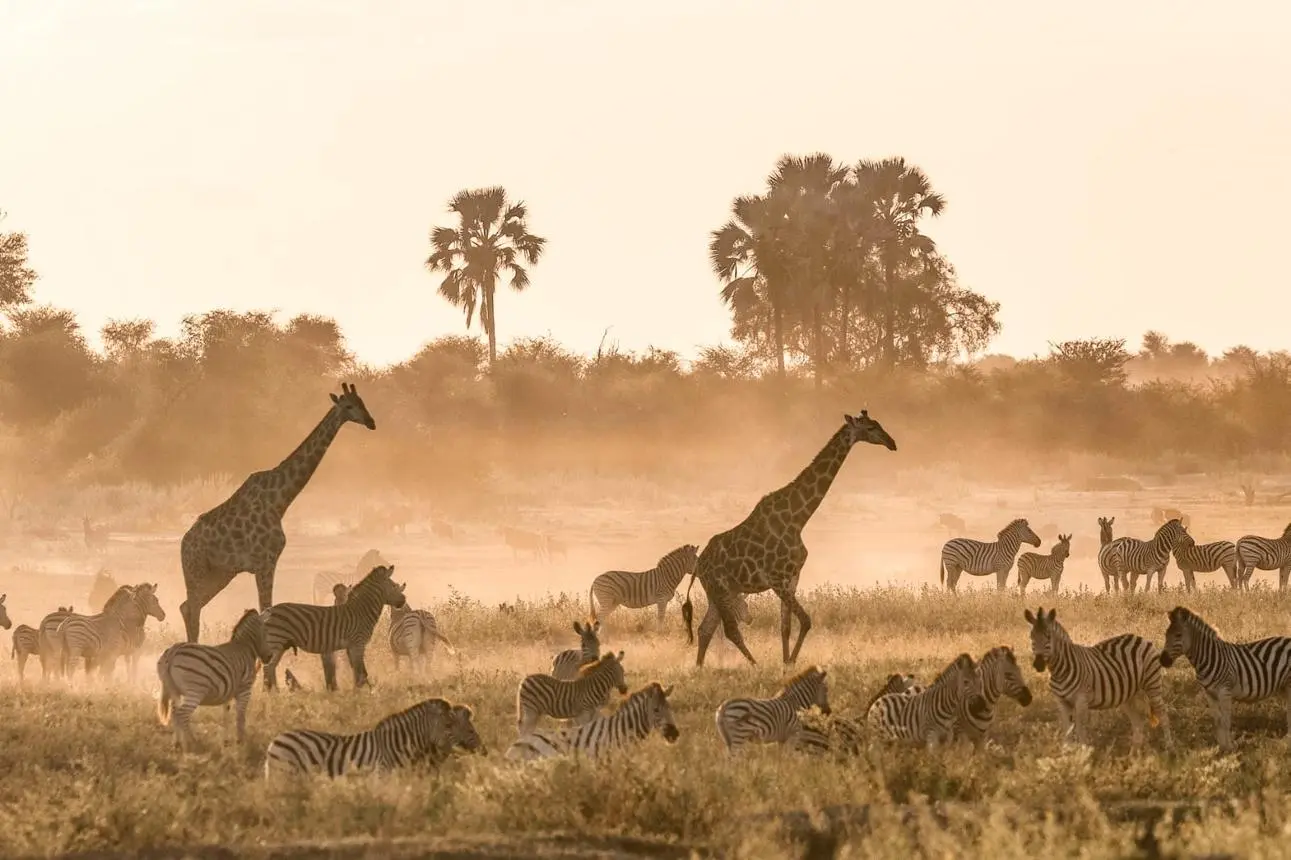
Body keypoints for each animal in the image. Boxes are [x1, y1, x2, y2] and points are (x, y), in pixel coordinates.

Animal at [156, 608, 273, 752]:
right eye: (266, 632)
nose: (269, 657)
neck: (245, 647)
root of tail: (173, 650)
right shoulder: (245, 689)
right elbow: (241, 716)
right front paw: (241, 741)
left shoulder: (228, 692)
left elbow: (225, 715)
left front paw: (226, 742)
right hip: (195, 691)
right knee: (182, 714)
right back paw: (195, 743)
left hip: (173, 690)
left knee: (174, 713)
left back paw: (177, 744)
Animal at [262, 563, 408, 692]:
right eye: (394, 586)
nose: (404, 600)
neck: (361, 611)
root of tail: (267, 611)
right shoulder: (358, 643)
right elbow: (361, 671)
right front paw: (363, 692)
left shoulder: (351, 646)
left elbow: (356, 670)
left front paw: (358, 691)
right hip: (276, 642)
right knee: (268, 668)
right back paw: (272, 694)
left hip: (280, 645)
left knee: (271, 668)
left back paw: (274, 693)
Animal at [264, 698, 482, 780]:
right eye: (448, 726)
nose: (483, 749)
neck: (400, 744)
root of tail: (275, 739)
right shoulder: (383, 774)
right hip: (283, 774)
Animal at [1024, 606, 1172, 748]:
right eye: (1031, 637)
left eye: (1048, 637)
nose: (1038, 665)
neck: (1059, 671)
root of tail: (1139, 637)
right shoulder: (1061, 702)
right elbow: (1067, 733)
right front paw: (1067, 753)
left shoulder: (1081, 701)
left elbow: (1081, 732)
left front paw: (1083, 753)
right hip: (1128, 695)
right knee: (1138, 724)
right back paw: (1134, 754)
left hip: (1152, 683)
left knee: (1163, 713)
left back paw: (1169, 747)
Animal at [1159, 605, 1291, 751]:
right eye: (1166, 635)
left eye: (1178, 635)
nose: (1162, 660)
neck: (1208, 658)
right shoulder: (1209, 694)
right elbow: (1217, 721)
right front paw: (1222, 747)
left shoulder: (1225, 691)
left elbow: (1226, 721)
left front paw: (1230, 747)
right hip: (1284, 686)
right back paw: (1286, 741)